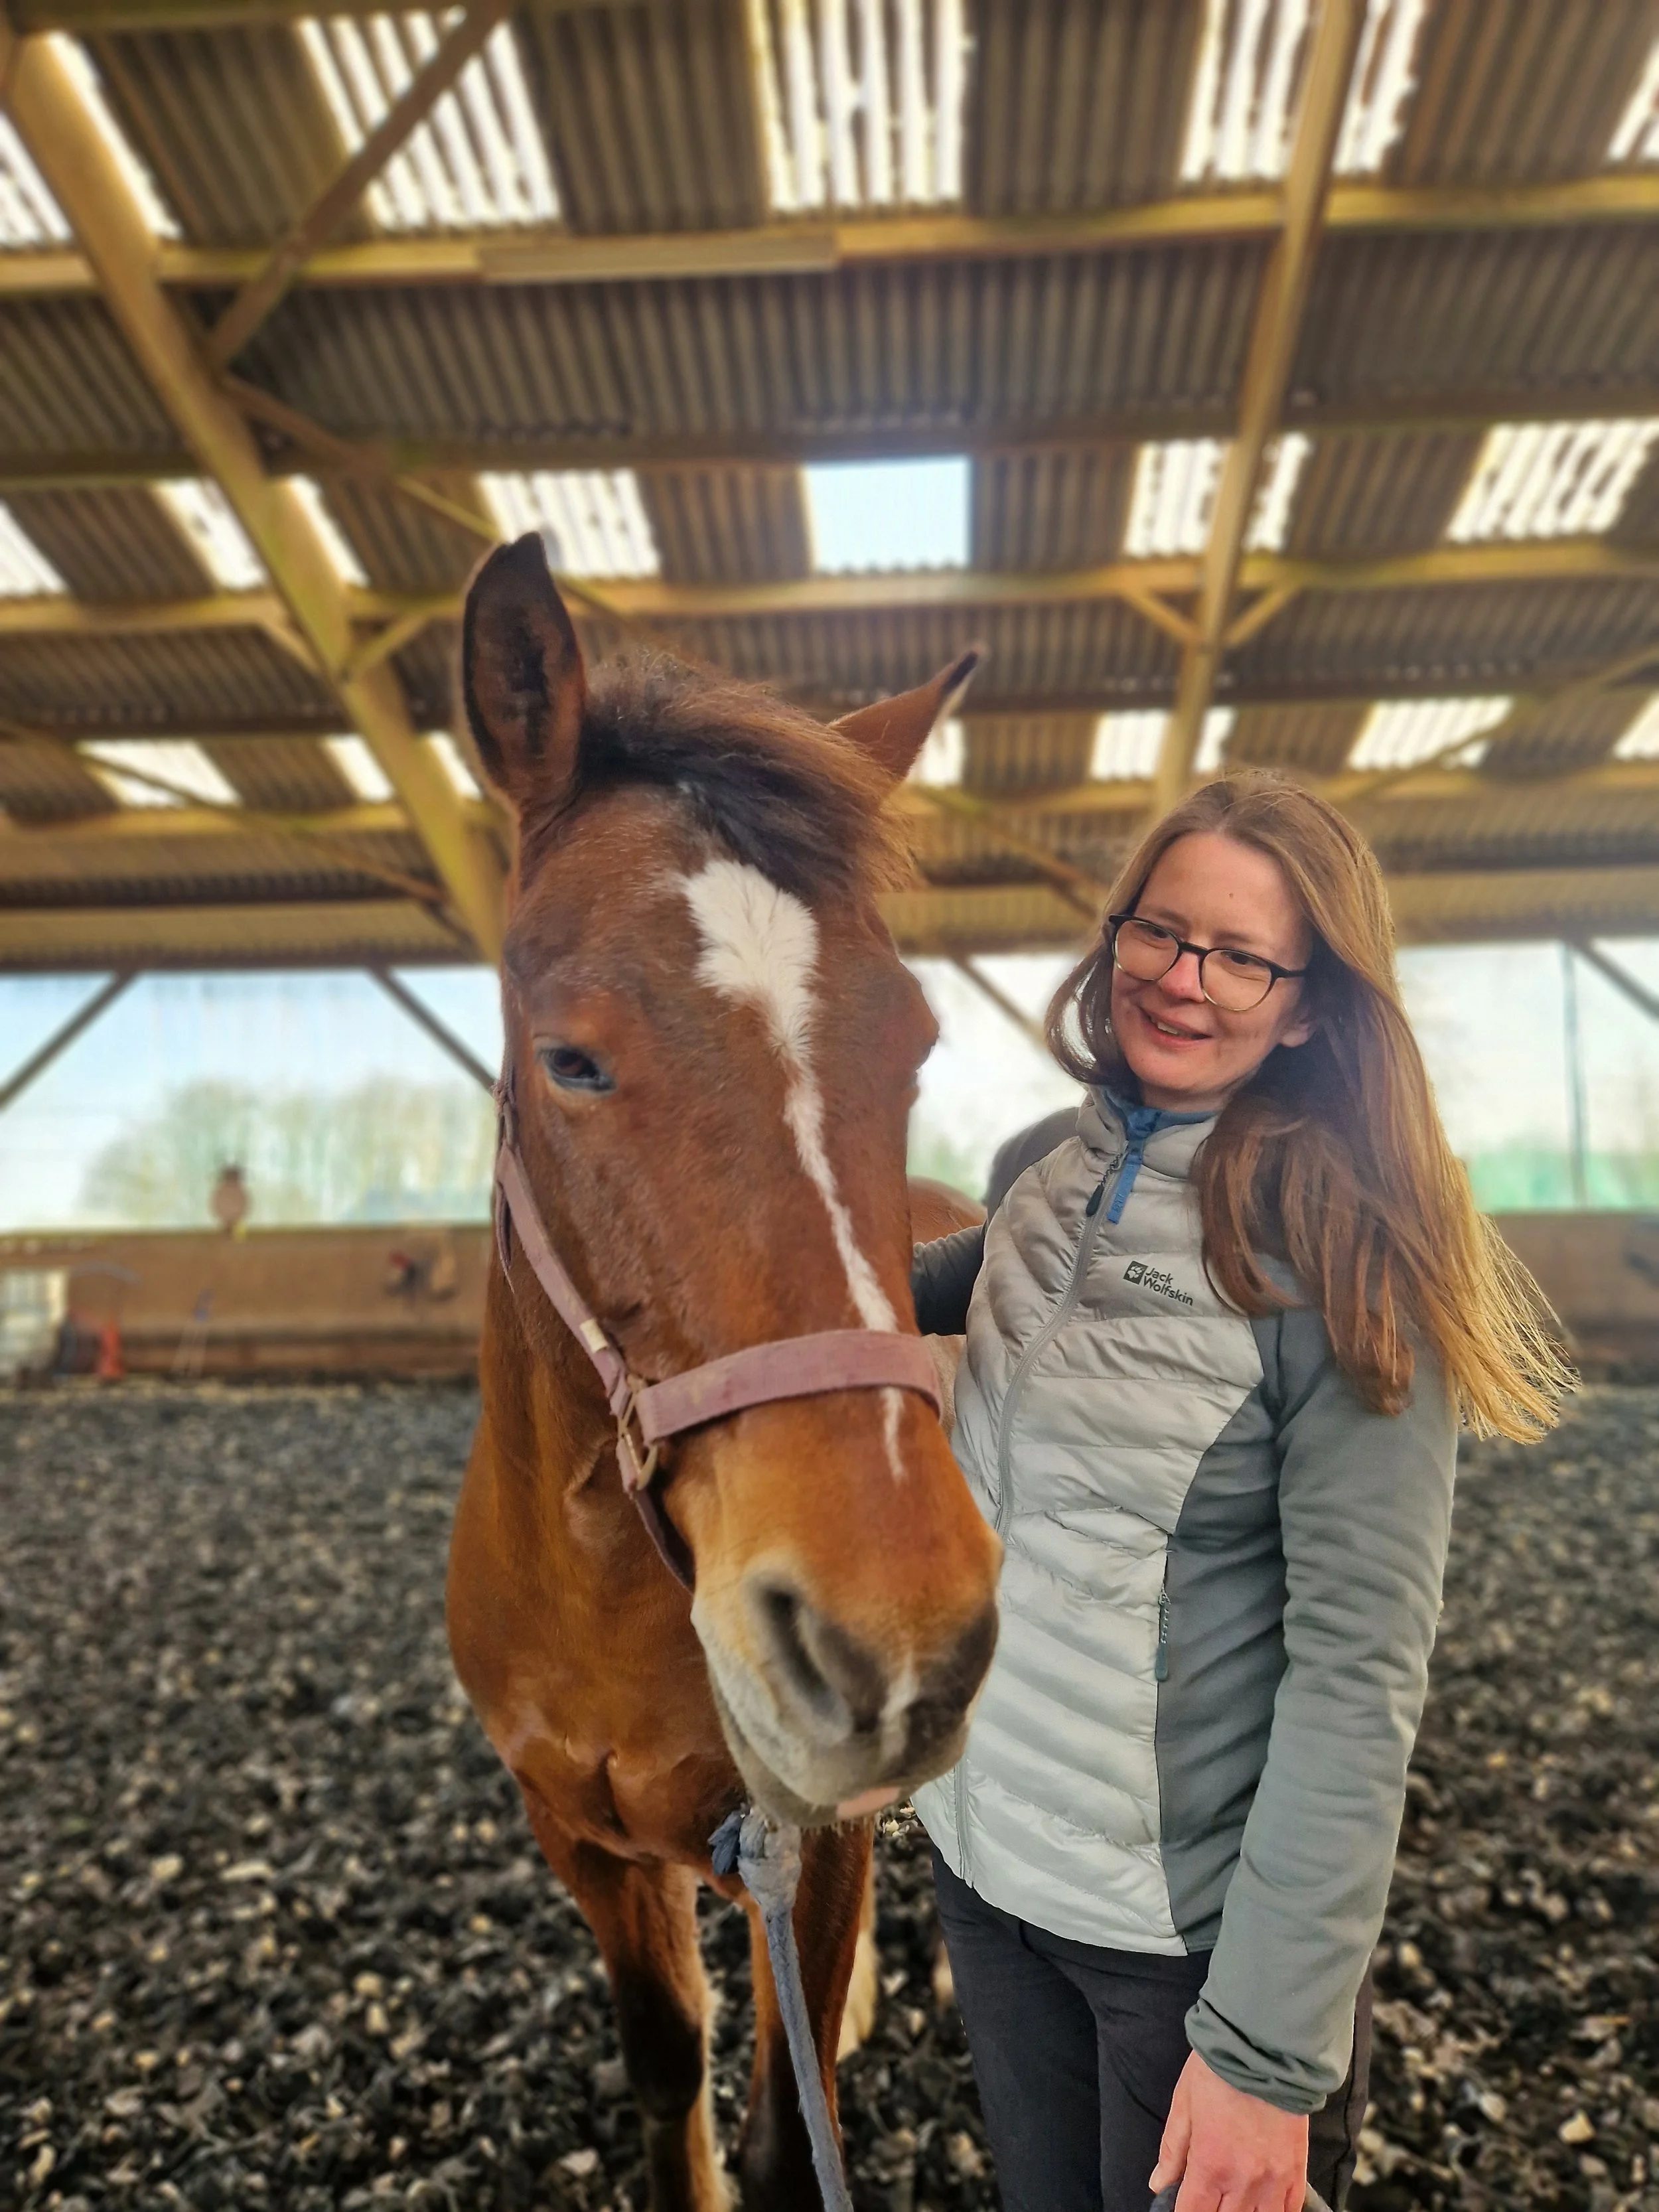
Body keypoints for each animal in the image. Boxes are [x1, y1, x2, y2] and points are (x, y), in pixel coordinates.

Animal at [445, 534, 1003, 2212]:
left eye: (916, 1046)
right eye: (568, 1058)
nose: (890, 1645)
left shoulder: (803, 1842)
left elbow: (781, 2125)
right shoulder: (581, 1833)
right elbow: (666, 2062)